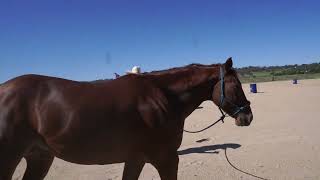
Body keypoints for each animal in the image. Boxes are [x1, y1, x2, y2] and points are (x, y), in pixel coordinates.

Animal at [0, 57, 252, 179]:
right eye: (236, 85)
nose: (248, 116)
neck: (162, 96)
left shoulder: (136, 159)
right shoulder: (167, 159)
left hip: (40, 157)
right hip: (11, 158)